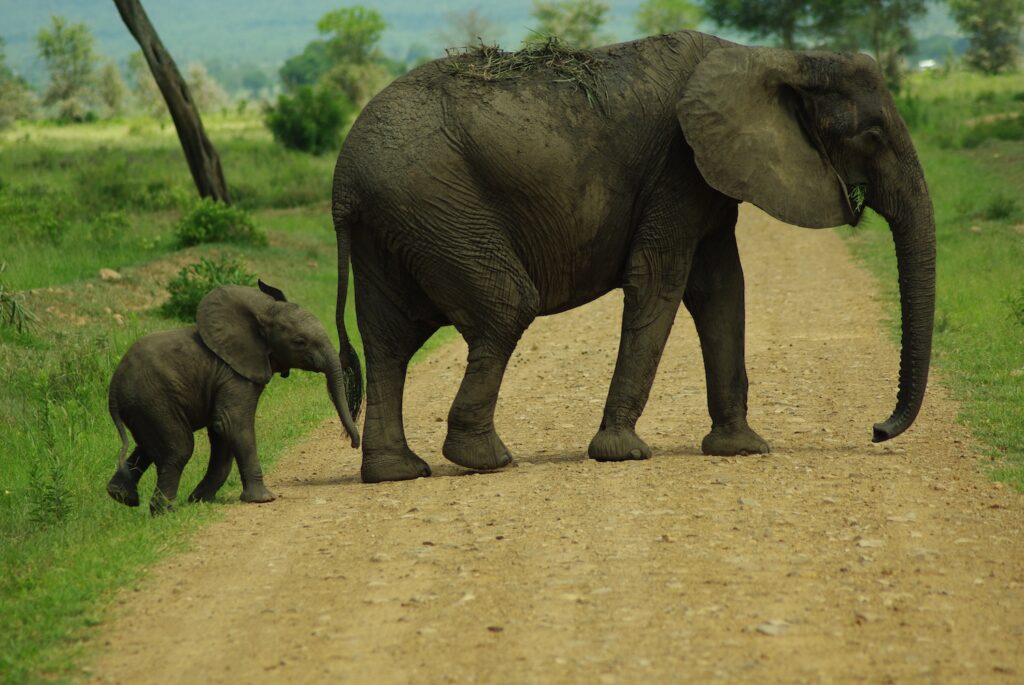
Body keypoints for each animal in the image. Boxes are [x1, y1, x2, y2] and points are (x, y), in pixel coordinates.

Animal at [106, 281, 360, 514]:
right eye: (300, 342)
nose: (353, 444)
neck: (263, 315)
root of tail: (113, 391)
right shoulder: (233, 375)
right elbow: (231, 422)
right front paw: (263, 499)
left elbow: (222, 431)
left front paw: (201, 500)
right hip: (153, 399)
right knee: (178, 448)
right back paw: (164, 512)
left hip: (145, 406)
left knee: (149, 445)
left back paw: (121, 496)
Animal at [330, 31, 935, 483]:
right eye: (871, 135)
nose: (876, 430)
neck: (776, 57)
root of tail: (342, 180)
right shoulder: (678, 165)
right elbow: (661, 281)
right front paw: (622, 452)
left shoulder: (705, 176)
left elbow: (722, 289)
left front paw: (741, 448)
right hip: (435, 206)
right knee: (505, 307)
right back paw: (486, 460)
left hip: (395, 223)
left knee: (389, 341)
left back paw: (398, 472)